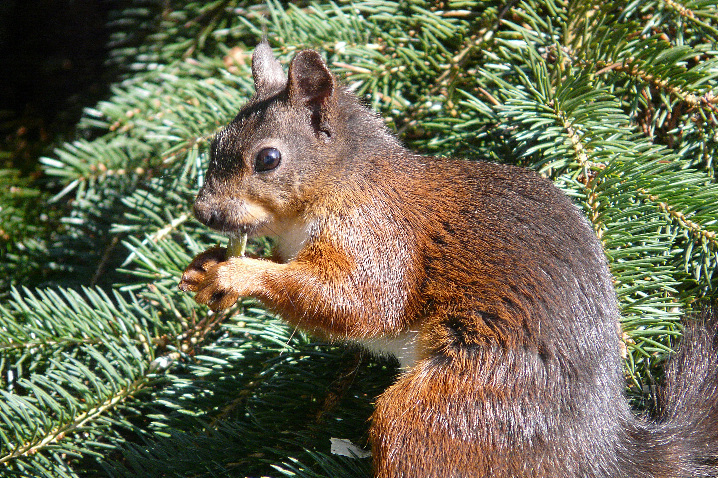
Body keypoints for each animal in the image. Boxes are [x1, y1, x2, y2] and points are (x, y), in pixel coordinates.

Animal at [179, 42, 718, 478]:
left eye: (267, 159)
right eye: (215, 141)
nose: (202, 211)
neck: (343, 181)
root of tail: (593, 449)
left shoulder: (379, 232)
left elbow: (359, 301)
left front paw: (240, 273)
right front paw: (205, 263)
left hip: (455, 405)